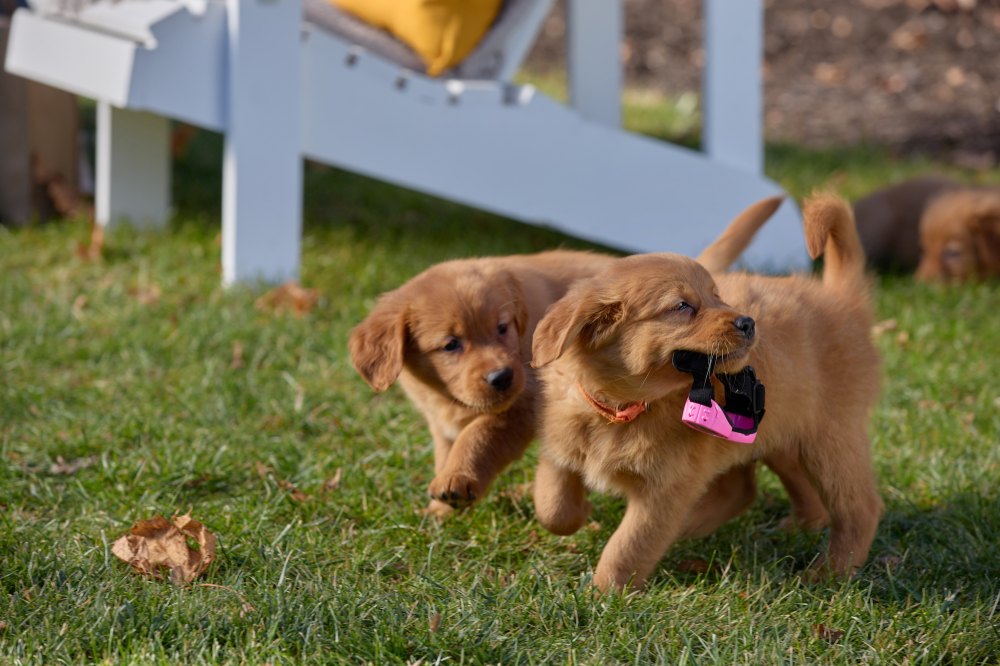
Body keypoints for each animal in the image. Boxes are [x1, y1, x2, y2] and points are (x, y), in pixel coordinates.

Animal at [352, 249, 616, 512]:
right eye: (451, 345)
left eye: (502, 327)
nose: (502, 377)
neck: (447, 398)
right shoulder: (441, 422)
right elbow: (445, 452)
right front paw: (440, 509)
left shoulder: (523, 404)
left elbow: (479, 434)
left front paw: (456, 478)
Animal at [532, 195, 884, 588]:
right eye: (682, 306)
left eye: (718, 296)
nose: (748, 322)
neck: (622, 407)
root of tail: (841, 299)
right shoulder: (559, 444)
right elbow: (551, 504)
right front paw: (579, 513)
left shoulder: (665, 490)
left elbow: (628, 545)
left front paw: (605, 592)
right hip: (780, 432)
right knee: (752, 489)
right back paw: (781, 528)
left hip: (832, 441)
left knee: (860, 508)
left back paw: (830, 572)